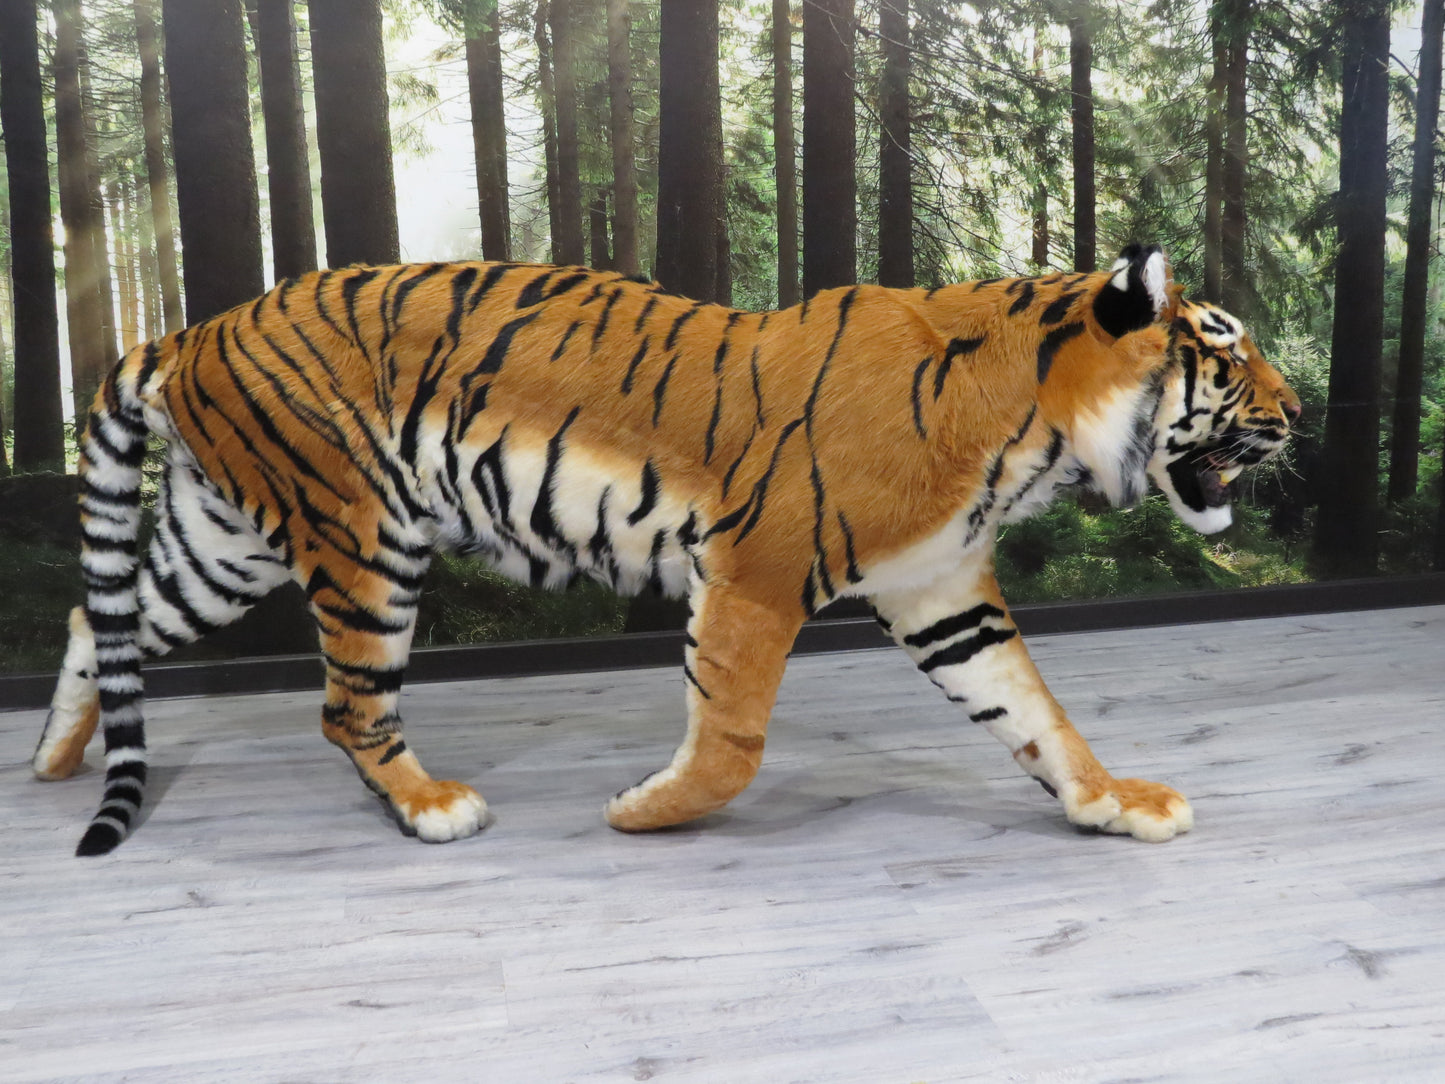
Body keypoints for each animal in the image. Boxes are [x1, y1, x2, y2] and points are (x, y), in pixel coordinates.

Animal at [32, 243, 1299, 856]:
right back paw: (431, 804)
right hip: (359, 538)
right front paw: (644, 812)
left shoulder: (942, 589)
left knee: (102, 612)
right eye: (1227, 350)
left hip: (230, 537)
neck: (1027, 441)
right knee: (348, 704)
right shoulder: (752, 568)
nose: (1298, 413)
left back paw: (53, 760)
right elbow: (731, 739)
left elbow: (1036, 713)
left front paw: (1110, 802)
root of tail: (195, 326)